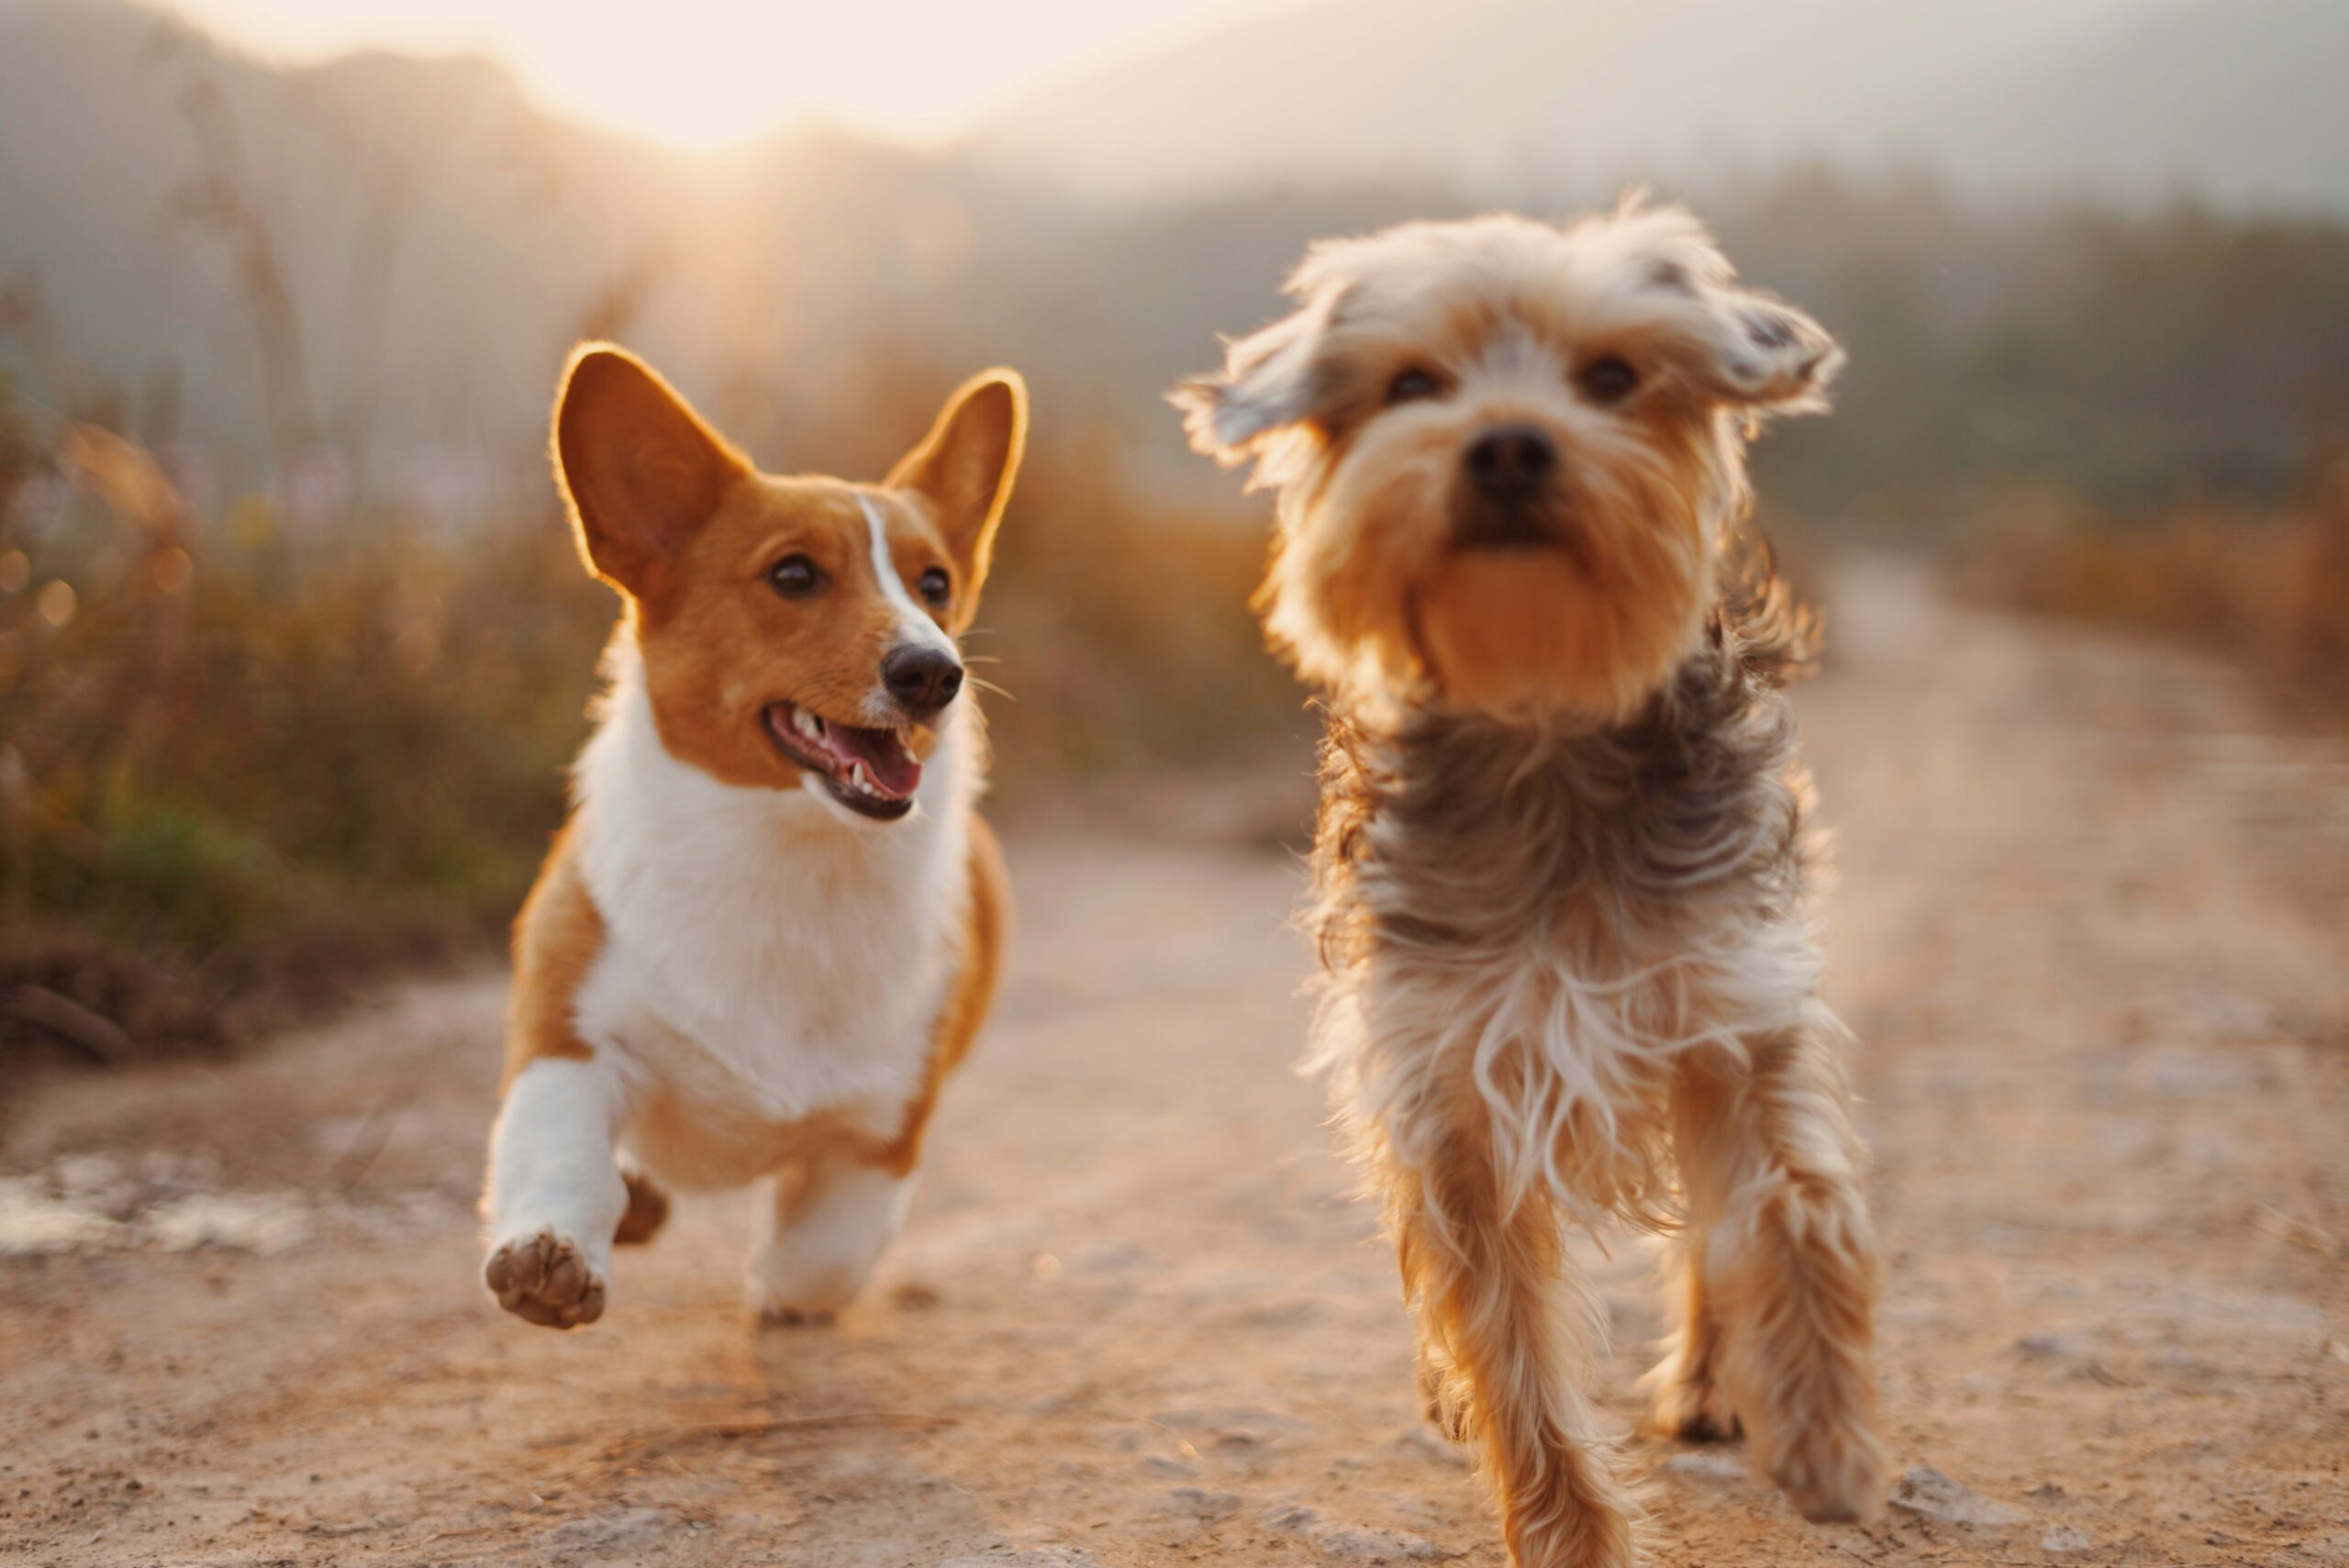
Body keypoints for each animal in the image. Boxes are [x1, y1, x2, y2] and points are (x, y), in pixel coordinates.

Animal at [1174, 202, 1888, 1558]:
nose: (1507, 444)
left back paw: (1715, 1381)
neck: (1543, 720)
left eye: (1611, 377)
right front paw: (1569, 1532)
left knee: (1710, 1234)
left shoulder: (1730, 1006)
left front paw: (1822, 1426)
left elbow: (1794, 1205)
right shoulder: (1447, 1084)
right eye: (1412, 385)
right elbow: (1508, 1344)